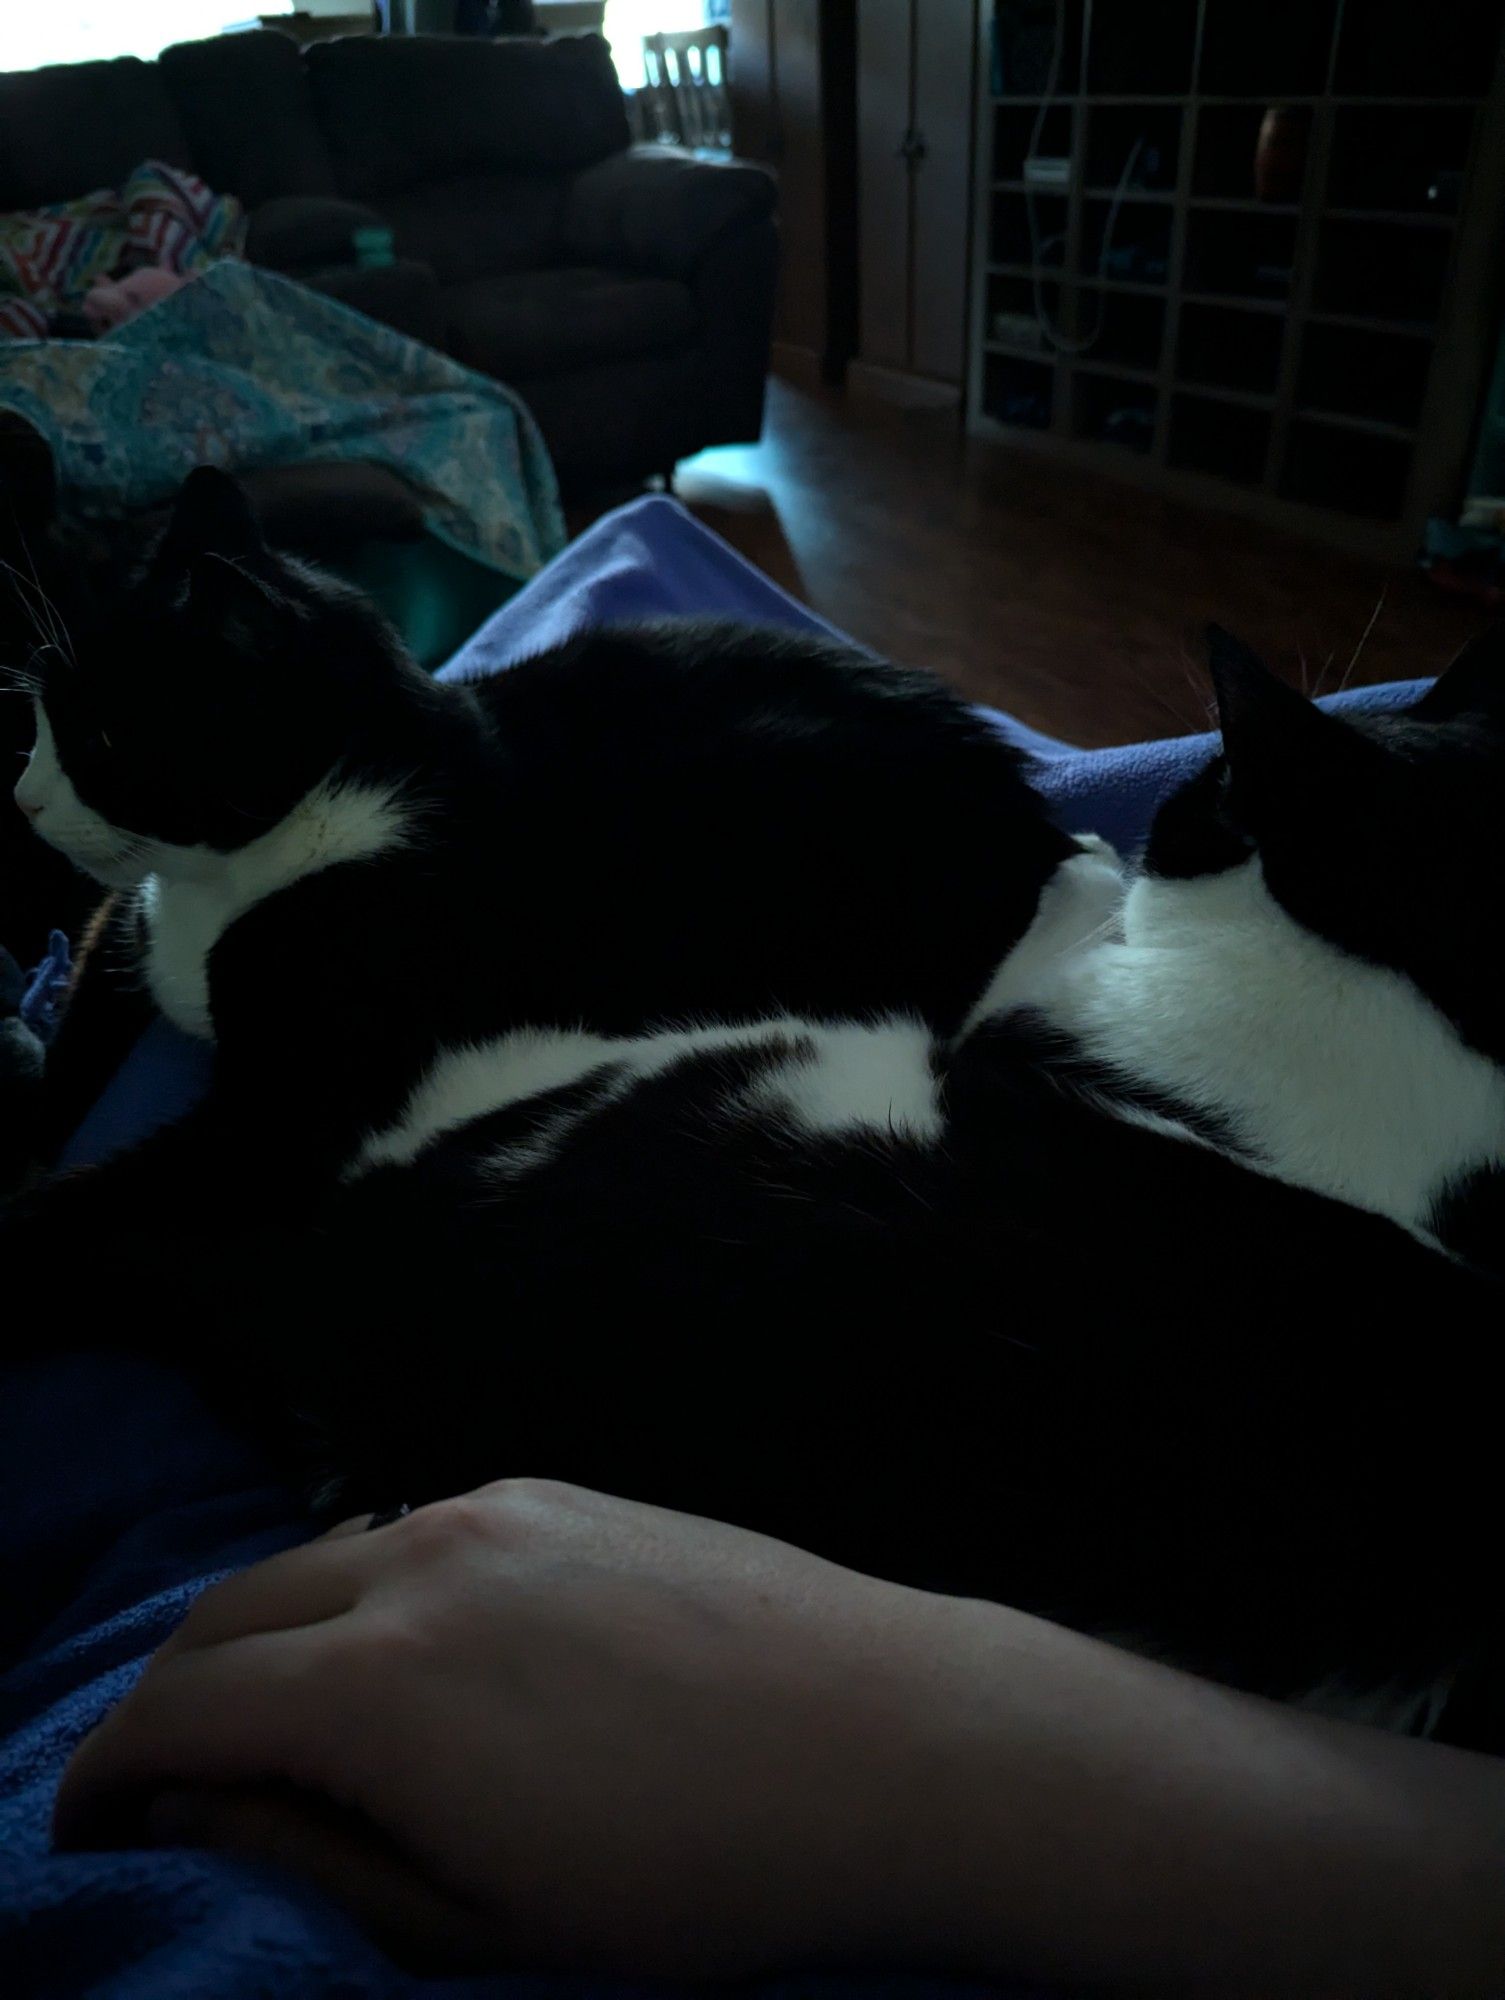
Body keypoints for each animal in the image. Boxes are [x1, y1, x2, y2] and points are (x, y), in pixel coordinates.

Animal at [8, 476, 1505, 1744]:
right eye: (40, 716)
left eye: (98, 734)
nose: (22, 804)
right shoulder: (127, 949)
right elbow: (85, 1011)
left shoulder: (302, 1099)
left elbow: (123, 1190)